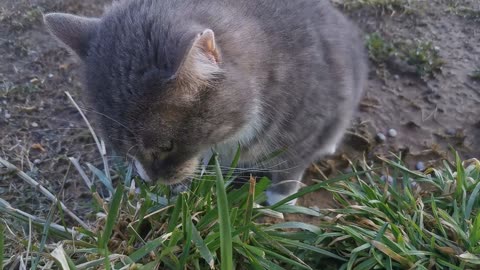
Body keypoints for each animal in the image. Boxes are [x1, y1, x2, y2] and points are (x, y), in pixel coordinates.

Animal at [45, 0, 368, 205]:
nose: (151, 180)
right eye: (119, 148)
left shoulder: (304, 128)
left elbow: (289, 171)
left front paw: (279, 205)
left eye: (166, 146)